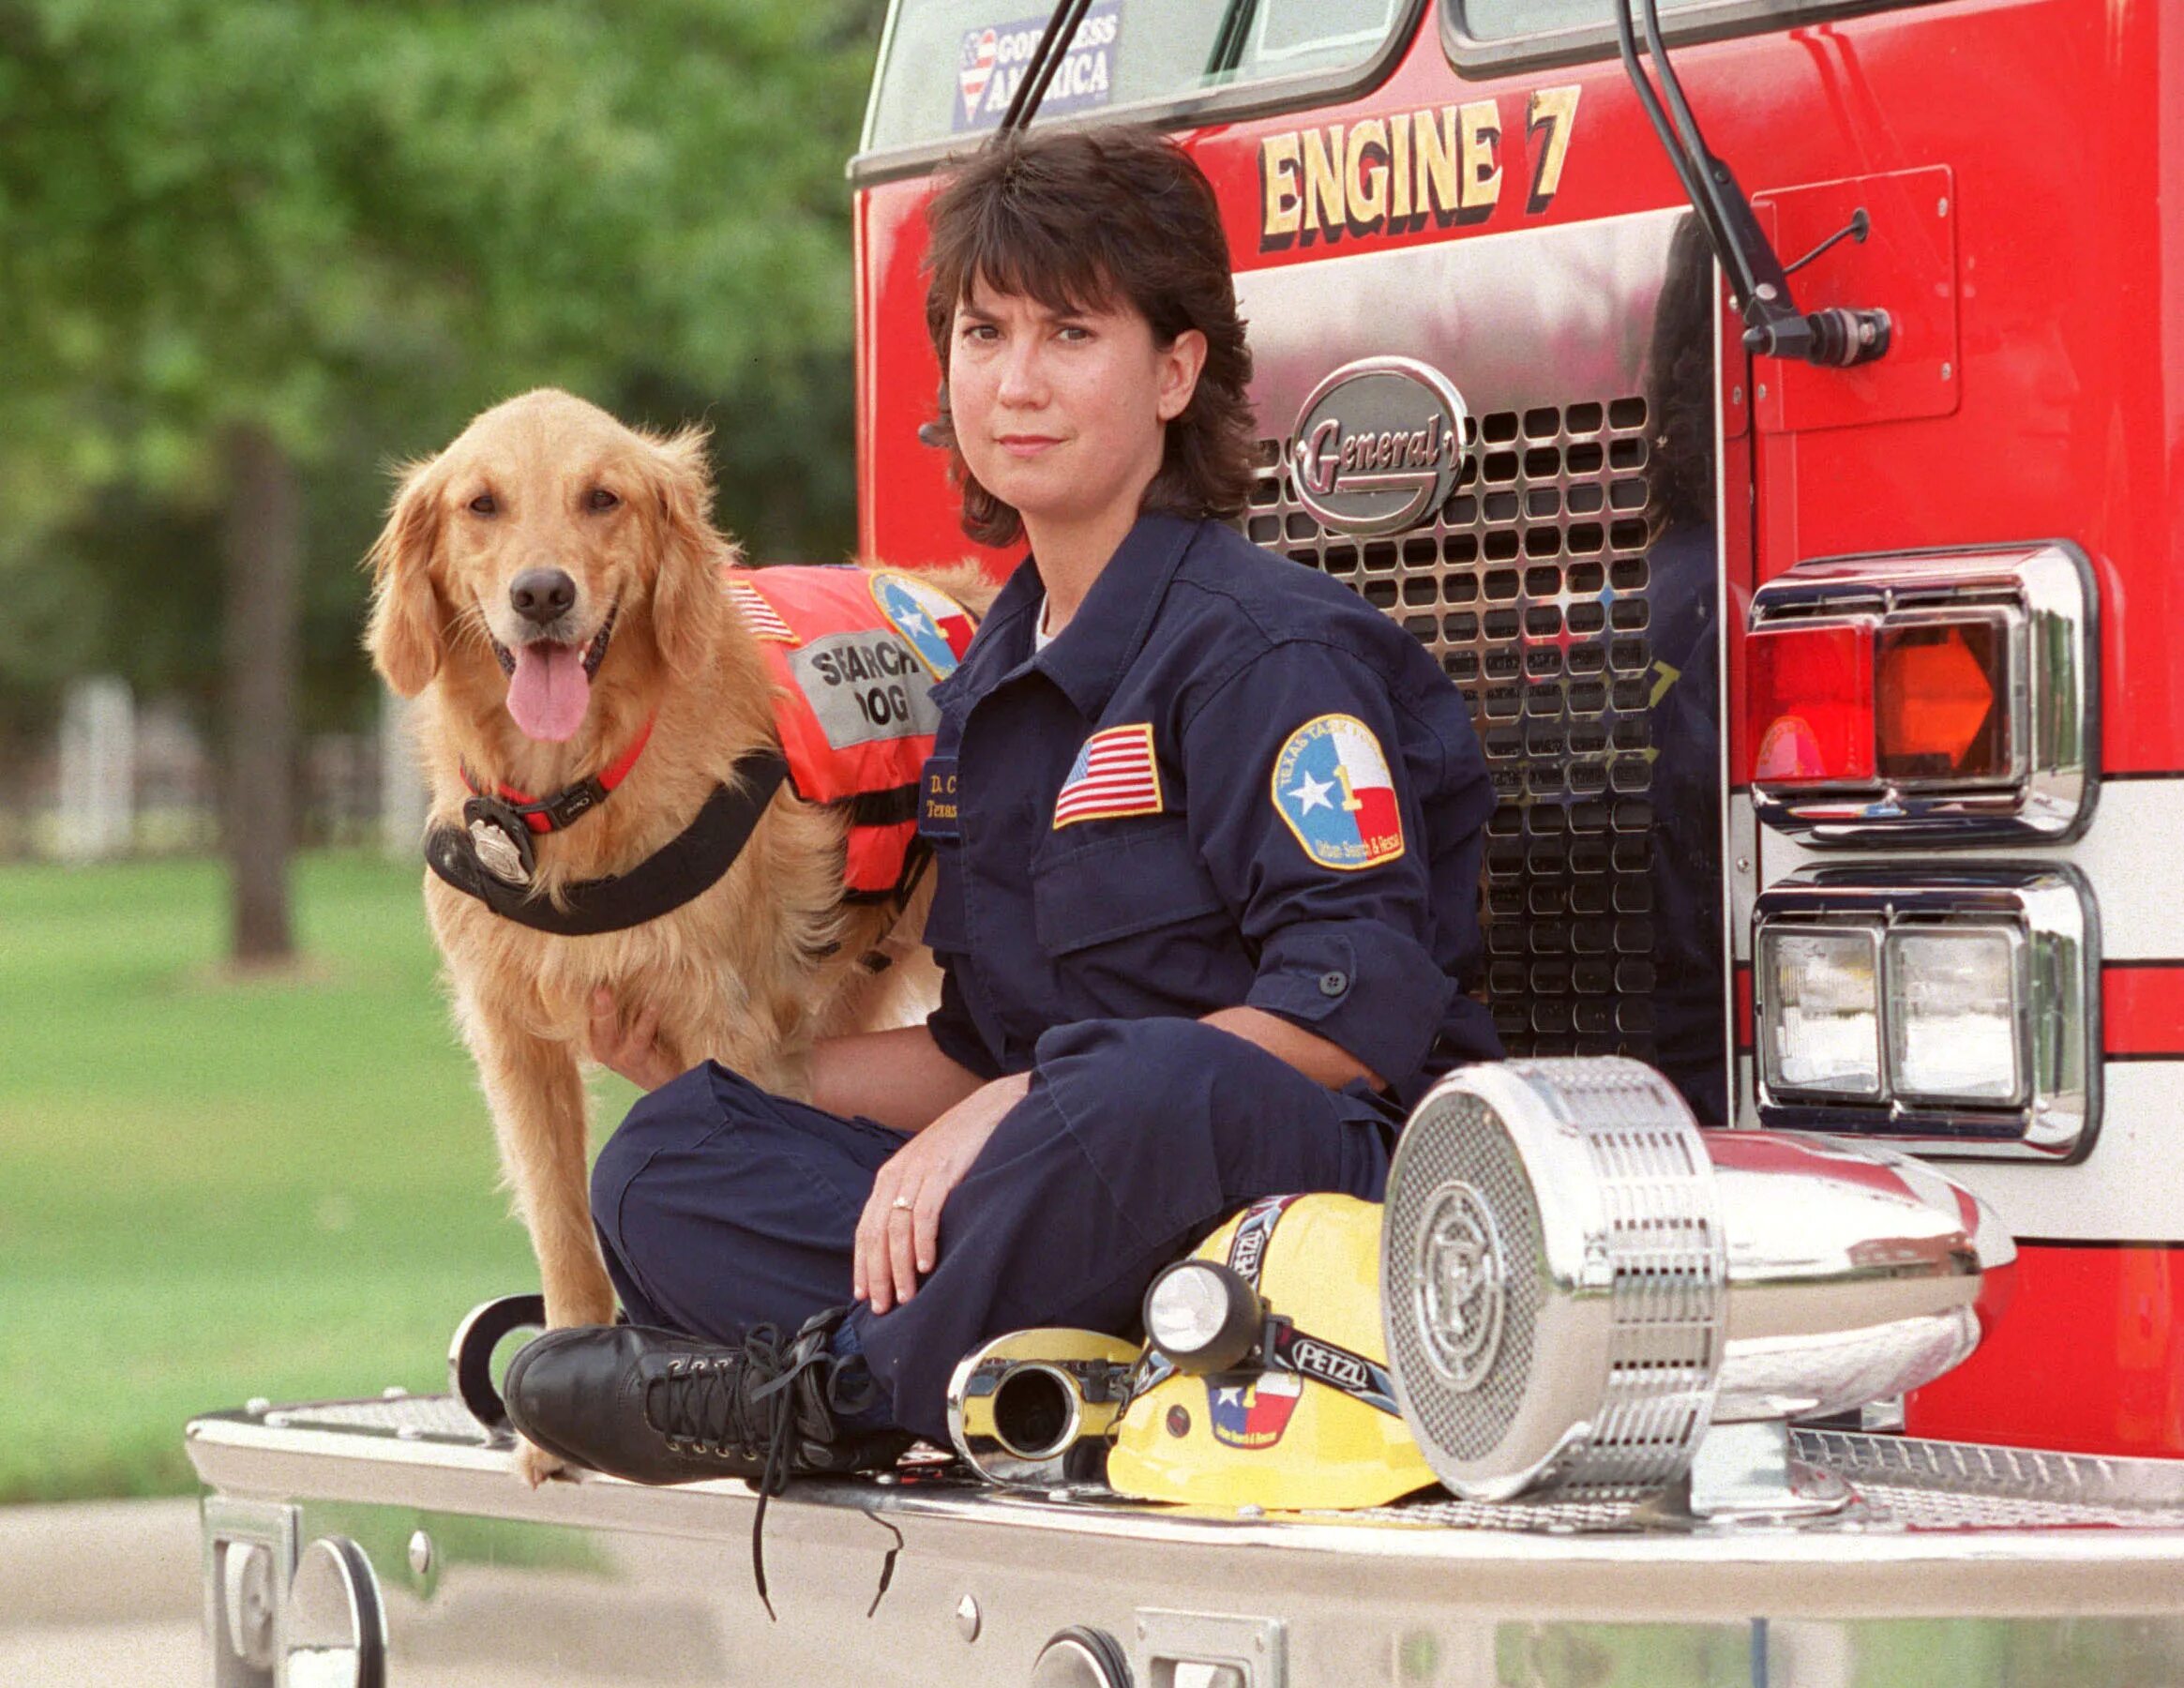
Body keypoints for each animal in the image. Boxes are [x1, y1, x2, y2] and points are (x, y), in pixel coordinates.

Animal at [364, 388, 991, 1485]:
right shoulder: (514, 1041)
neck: (572, 795)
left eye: (602, 498)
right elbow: (563, 1229)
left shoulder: (722, 1027)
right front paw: (550, 1427)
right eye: (482, 504)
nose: (541, 593)